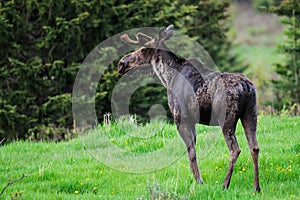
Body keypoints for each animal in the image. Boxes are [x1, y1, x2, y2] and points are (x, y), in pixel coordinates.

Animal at [118, 25, 260, 192]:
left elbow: (191, 152)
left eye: (144, 49)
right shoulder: (192, 121)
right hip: (250, 114)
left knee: (235, 149)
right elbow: (192, 150)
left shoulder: (181, 118)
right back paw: (256, 187)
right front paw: (196, 179)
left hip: (226, 119)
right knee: (254, 147)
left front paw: (199, 181)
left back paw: (225, 184)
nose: (122, 63)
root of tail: (246, 87)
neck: (167, 77)